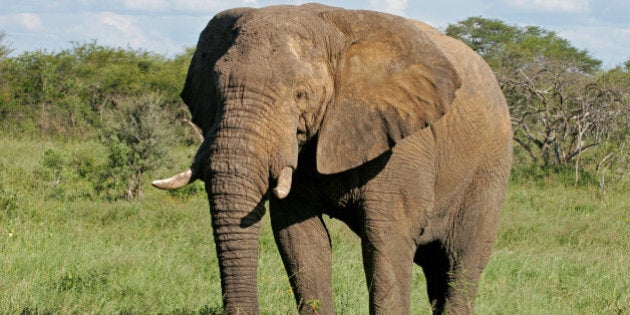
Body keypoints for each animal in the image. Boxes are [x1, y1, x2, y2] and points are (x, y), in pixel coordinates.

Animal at [153, 3, 512, 315]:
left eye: (301, 94)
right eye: (216, 89)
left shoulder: (404, 141)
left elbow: (387, 239)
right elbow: (300, 240)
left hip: (489, 169)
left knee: (461, 262)